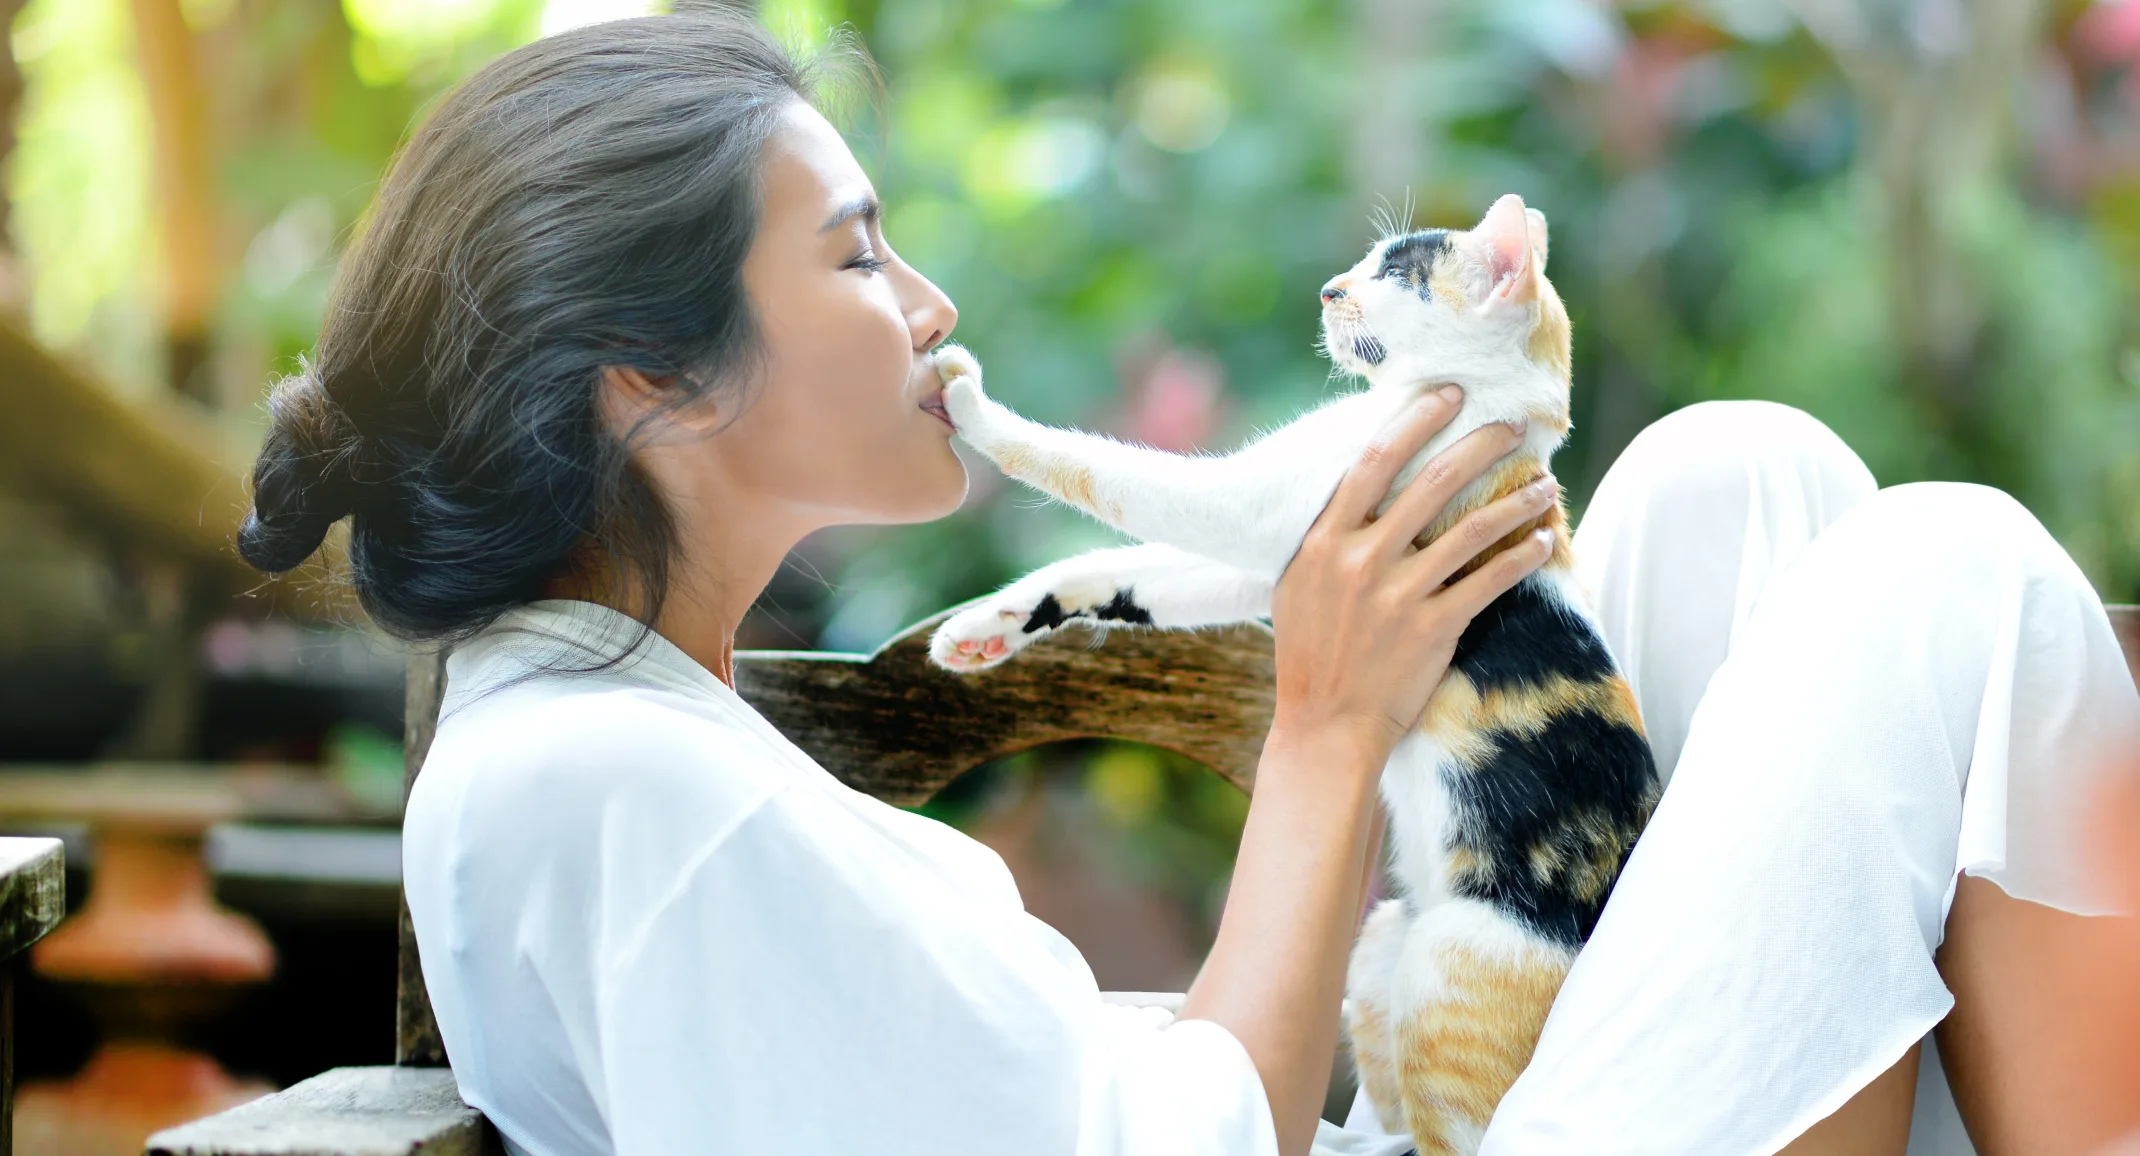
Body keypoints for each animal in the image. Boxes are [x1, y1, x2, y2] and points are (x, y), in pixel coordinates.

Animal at [933, 193, 1652, 1147]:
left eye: (1395, 273)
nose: (1329, 289)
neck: (1487, 414)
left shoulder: (1256, 504)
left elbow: (1101, 469)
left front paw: (967, 401)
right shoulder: (1275, 560)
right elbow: (1129, 573)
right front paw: (986, 626)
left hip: (1447, 967)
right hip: (1384, 940)